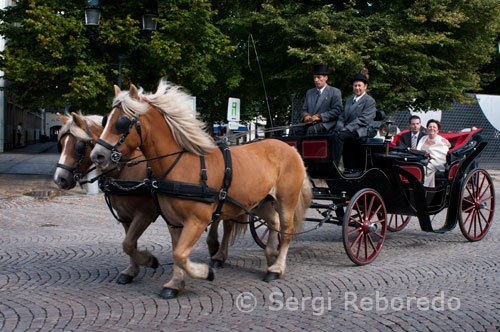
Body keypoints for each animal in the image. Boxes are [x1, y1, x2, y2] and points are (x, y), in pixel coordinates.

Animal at [54, 113, 242, 284]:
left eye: (79, 145)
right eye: (61, 144)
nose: (60, 179)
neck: (127, 170)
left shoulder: (144, 214)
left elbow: (129, 243)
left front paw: (149, 260)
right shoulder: (125, 216)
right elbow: (129, 243)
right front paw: (131, 270)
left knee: (226, 224)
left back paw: (218, 254)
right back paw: (214, 248)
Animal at [88, 81, 310, 298]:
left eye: (122, 122)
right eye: (105, 120)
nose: (97, 156)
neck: (182, 163)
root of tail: (290, 149)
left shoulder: (196, 220)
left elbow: (179, 254)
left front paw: (204, 272)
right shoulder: (173, 221)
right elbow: (173, 252)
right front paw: (175, 283)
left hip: (286, 200)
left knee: (286, 230)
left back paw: (277, 268)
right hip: (259, 202)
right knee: (273, 222)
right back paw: (271, 255)